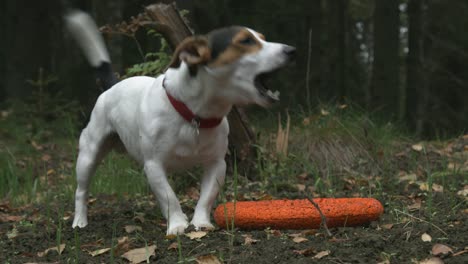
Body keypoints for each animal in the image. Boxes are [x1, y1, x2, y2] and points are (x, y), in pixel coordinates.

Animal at [64, 10, 294, 234]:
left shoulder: (217, 163)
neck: (194, 115)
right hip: (88, 155)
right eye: (245, 40)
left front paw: (200, 222)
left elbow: (206, 197)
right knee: (81, 191)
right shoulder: (154, 165)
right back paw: (79, 221)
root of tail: (112, 87)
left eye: (263, 38)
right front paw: (176, 225)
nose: (291, 50)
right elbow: (168, 196)